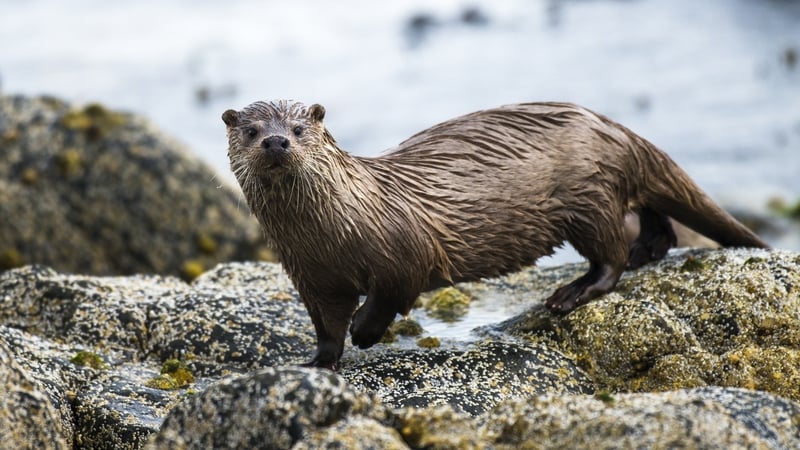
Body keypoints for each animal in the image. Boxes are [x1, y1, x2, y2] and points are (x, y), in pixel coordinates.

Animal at [222, 100, 768, 370]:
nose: (276, 141)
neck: (339, 226)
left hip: (586, 197)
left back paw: (571, 293)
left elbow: (394, 291)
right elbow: (326, 326)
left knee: (609, 256)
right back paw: (647, 249)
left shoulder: (404, 248)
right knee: (655, 217)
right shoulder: (311, 277)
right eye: (250, 131)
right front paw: (314, 364)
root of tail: (613, 129)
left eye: (299, 129)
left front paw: (366, 331)